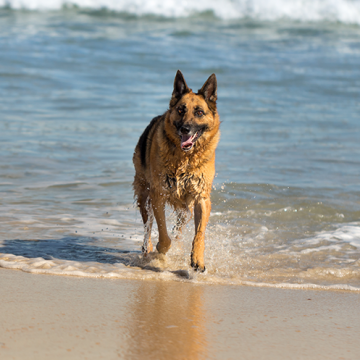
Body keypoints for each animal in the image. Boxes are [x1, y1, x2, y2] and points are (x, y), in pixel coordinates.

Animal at [133, 70, 219, 270]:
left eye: (199, 112)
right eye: (181, 110)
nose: (185, 129)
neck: (185, 159)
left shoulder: (201, 198)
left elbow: (199, 233)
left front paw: (197, 259)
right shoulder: (158, 195)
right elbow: (164, 235)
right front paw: (160, 250)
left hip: (185, 209)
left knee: (178, 230)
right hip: (144, 196)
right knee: (147, 226)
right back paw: (148, 249)